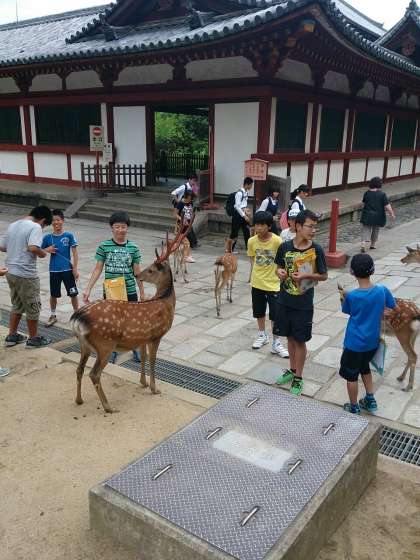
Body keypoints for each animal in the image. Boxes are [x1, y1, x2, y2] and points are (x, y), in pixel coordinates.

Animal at [70, 225, 190, 414]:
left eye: (150, 269)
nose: (137, 274)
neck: (164, 301)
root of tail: (77, 318)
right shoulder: (157, 335)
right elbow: (153, 360)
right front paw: (154, 388)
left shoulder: (142, 337)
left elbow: (143, 357)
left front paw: (143, 383)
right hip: (105, 344)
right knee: (94, 374)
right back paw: (108, 407)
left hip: (84, 345)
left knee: (79, 369)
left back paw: (79, 399)